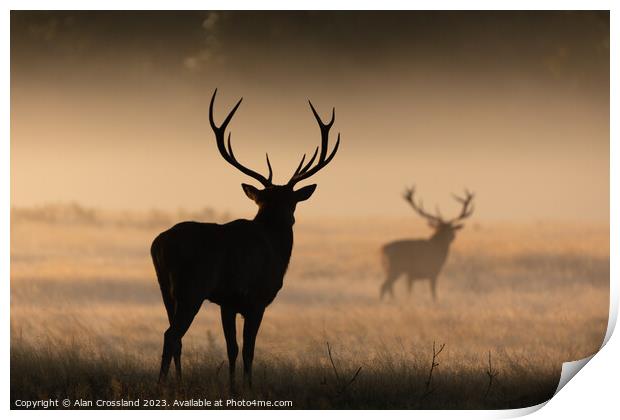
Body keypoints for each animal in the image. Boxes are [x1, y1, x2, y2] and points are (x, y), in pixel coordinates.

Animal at [153, 90, 342, 392]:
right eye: (293, 202)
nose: (290, 220)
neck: (275, 249)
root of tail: (159, 245)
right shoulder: (257, 299)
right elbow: (249, 350)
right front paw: (248, 387)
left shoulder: (227, 302)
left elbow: (232, 349)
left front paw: (232, 388)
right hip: (191, 288)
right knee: (171, 334)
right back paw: (162, 386)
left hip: (165, 290)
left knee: (174, 336)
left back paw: (177, 384)